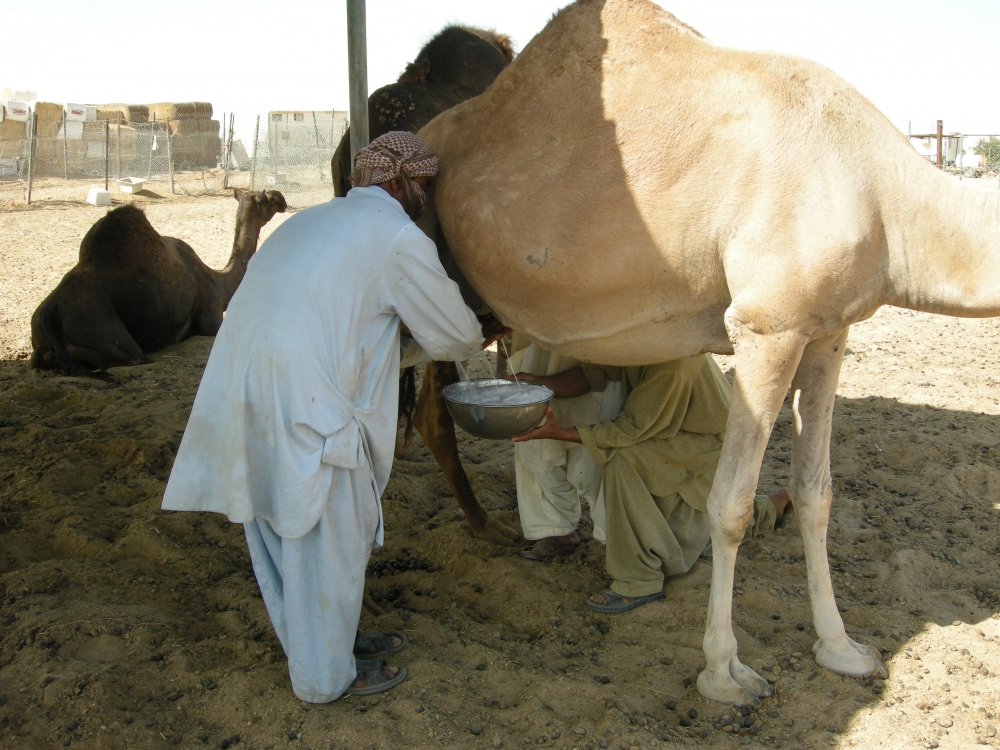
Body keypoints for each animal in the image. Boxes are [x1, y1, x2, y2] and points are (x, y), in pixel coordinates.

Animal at [30, 188, 286, 376]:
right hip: (102, 328)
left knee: (39, 356)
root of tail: (50, 310)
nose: (281, 198)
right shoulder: (210, 321)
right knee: (130, 355)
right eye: (264, 197)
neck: (218, 281)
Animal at [418, 0, 996, 708]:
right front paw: (724, 672)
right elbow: (731, 507)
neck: (884, 194)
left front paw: (841, 649)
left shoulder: (828, 330)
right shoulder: (766, 326)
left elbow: (816, 493)